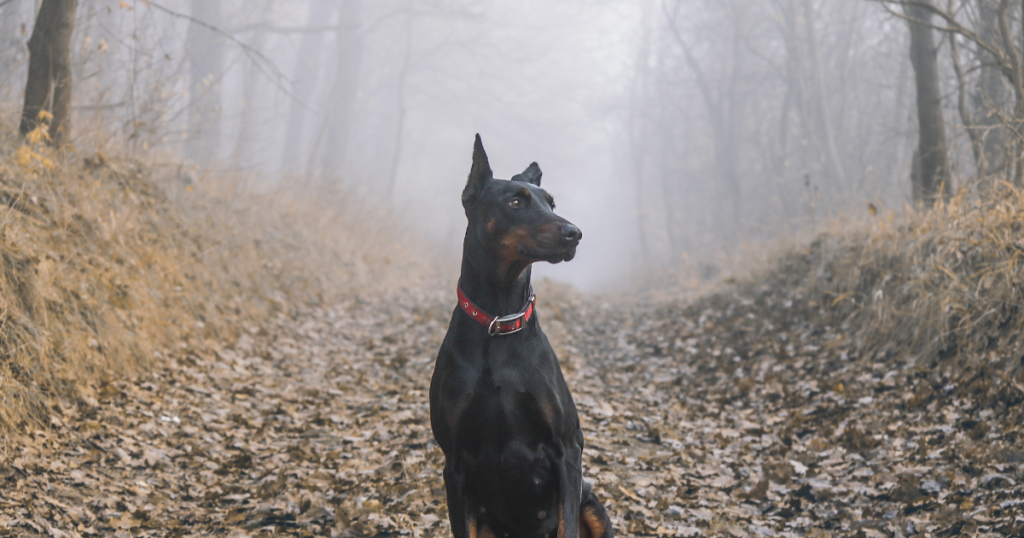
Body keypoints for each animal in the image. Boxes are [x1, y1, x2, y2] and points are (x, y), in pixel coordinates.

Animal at [428, 135, 610, 536]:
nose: (575, 233)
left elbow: (567, 524)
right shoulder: (455, 466)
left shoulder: (567, 450)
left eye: (551, 203)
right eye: (515, 202)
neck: (499, 319)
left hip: (593, 505)